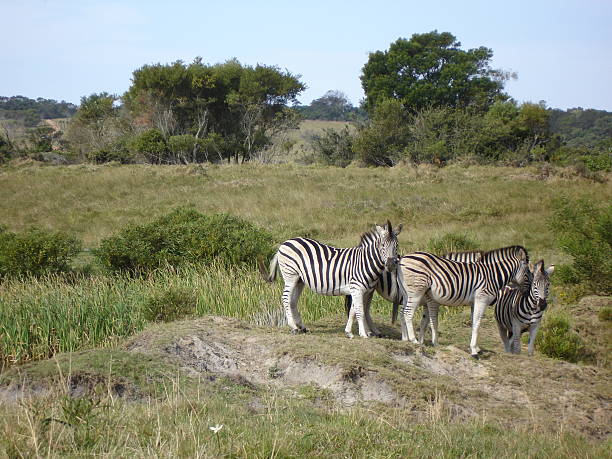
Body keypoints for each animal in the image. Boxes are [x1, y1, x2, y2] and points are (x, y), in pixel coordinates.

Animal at [258, 222, 402, 338]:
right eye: (382, 245)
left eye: (396, 245)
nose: (391, 265)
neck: (365, 261)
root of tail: (285, 243)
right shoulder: (357, 288)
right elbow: (360, 311)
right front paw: (363, 334)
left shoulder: (362, 290)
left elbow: (353, 311)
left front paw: (349, 332)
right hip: (290, 275)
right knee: (285, 298)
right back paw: (293, 327)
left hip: (299, 280)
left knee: (292, 301)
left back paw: (301, 327)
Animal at [344, 250, 482, 336]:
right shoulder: (431, 301)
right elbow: (428, 321)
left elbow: (424, 322)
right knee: (363, 307)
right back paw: (369, 331)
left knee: (364, 308)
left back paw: (372, 331)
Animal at [394, 246, 528, 358]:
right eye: (528, 271)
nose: (526, 292)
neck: (491, 275)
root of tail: (403, 258)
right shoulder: (481, 299)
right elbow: (477, 323)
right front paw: (474, 351)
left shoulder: (474, 302)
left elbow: (473, 323)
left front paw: (475, 348)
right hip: (416, 291)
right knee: (408, 313)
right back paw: (413, 340)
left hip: (406, 293)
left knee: (402, 313)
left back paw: (405, 339)